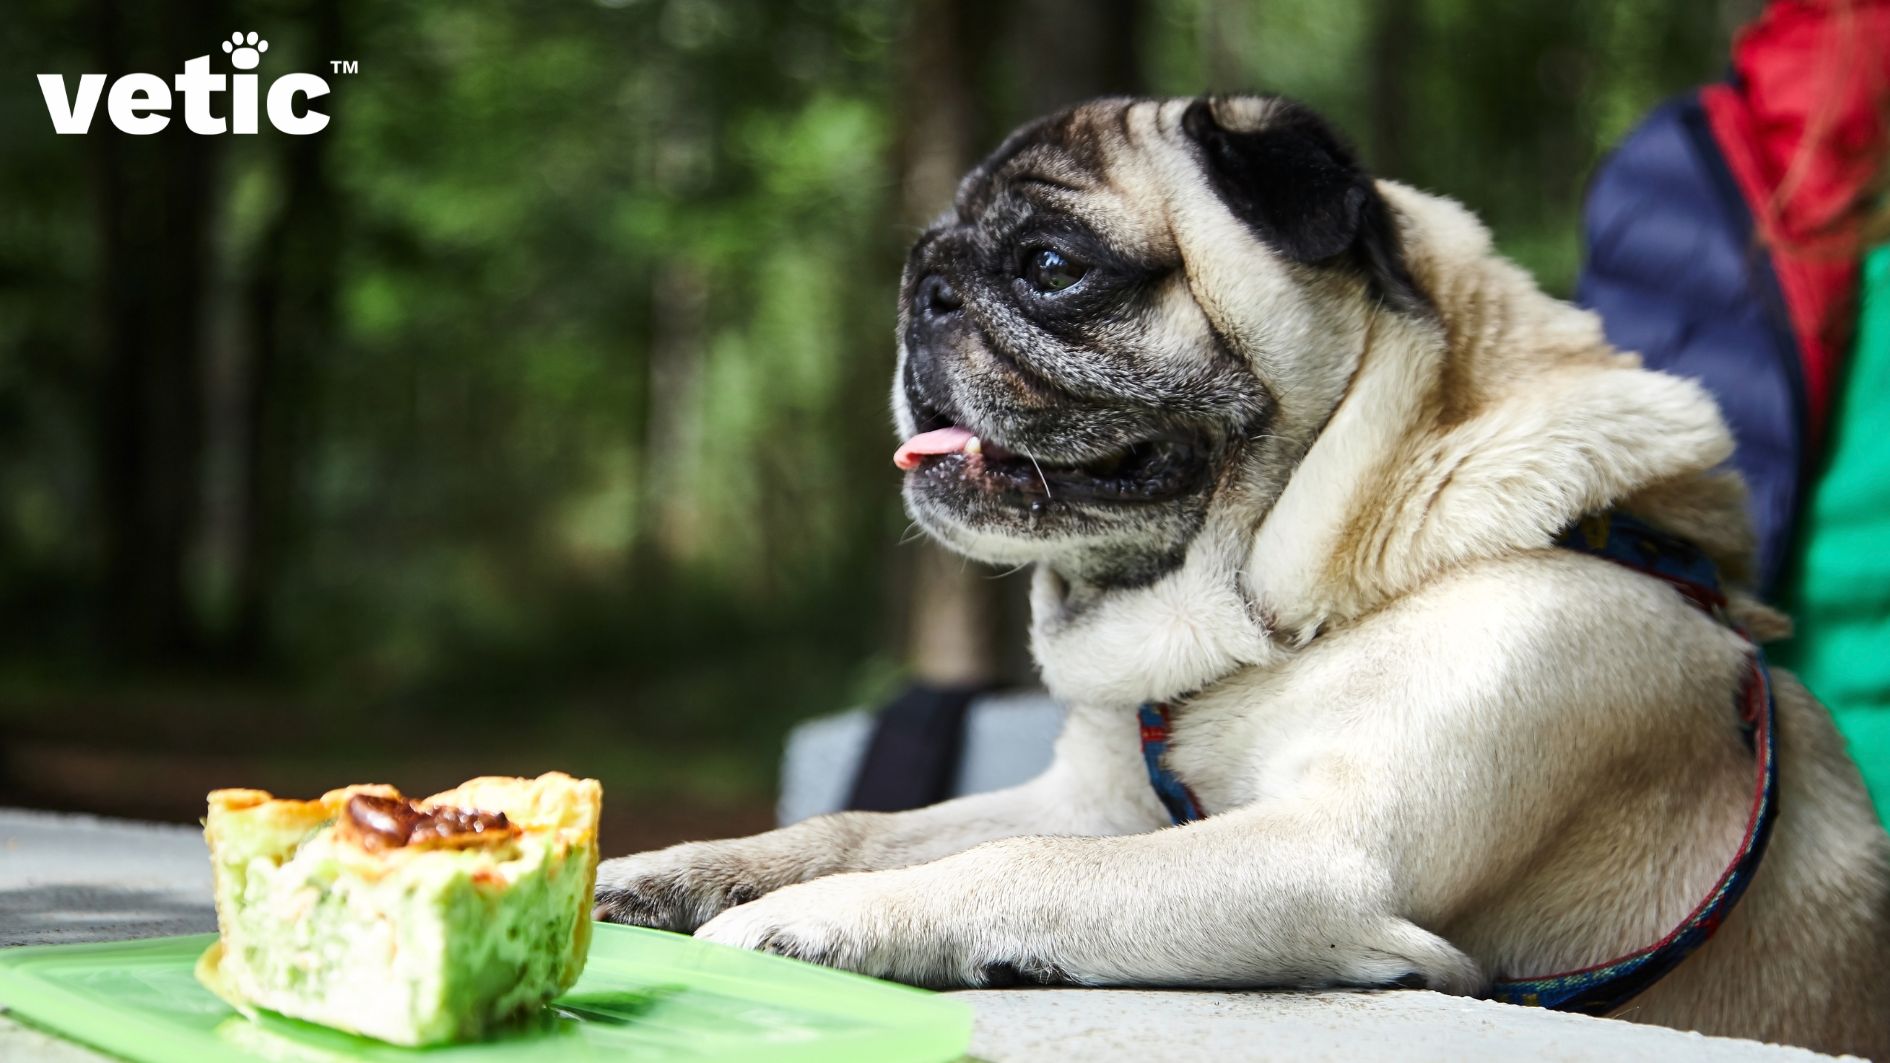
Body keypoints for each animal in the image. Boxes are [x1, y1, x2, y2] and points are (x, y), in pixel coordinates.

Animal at [601, 97, 1890, 1051]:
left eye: (1050, 266)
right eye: (928, 264)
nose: (924, 292)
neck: (1282, 615)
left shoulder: (1325, 851)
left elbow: (1025, 866)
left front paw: (820, 920)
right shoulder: (1088, 803)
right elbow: (868, 825)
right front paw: (685, 871)